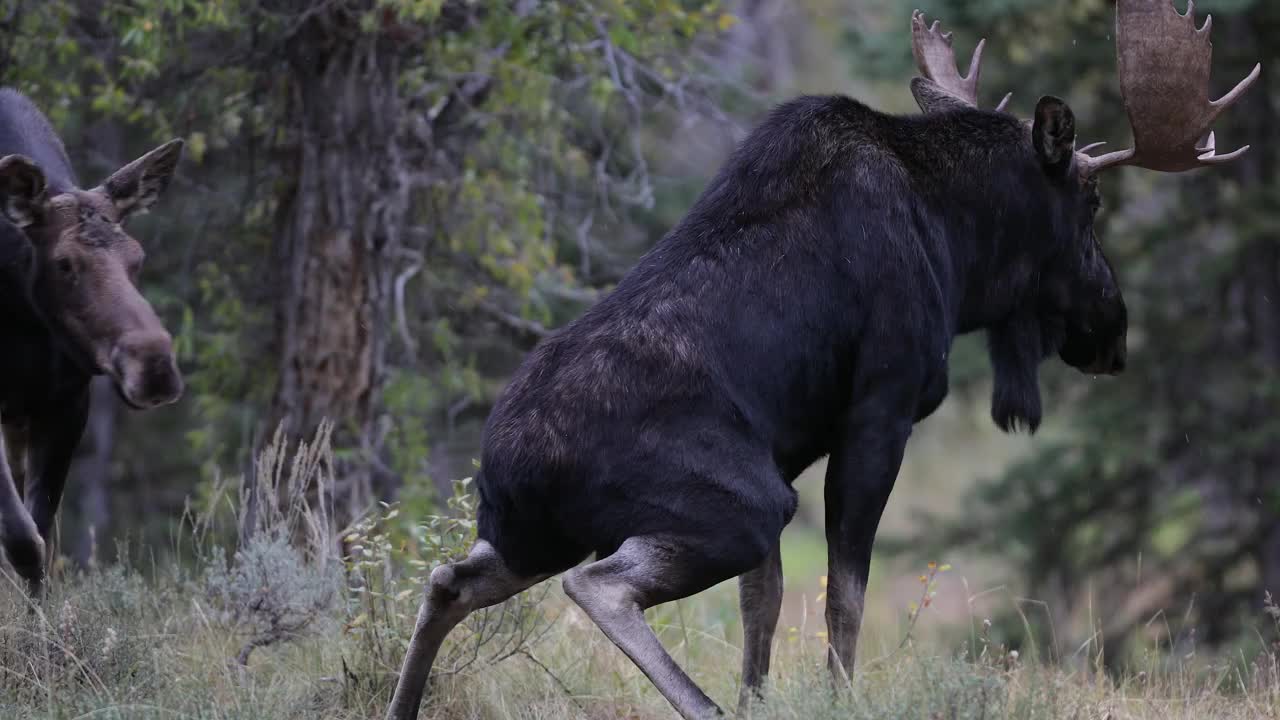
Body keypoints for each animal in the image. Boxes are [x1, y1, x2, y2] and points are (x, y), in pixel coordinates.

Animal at [0, 88, 186, 594]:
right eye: (64, 263)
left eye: (137, 257)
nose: (155, 366)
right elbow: (22, 539)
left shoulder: (67, 402)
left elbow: (40, 536)